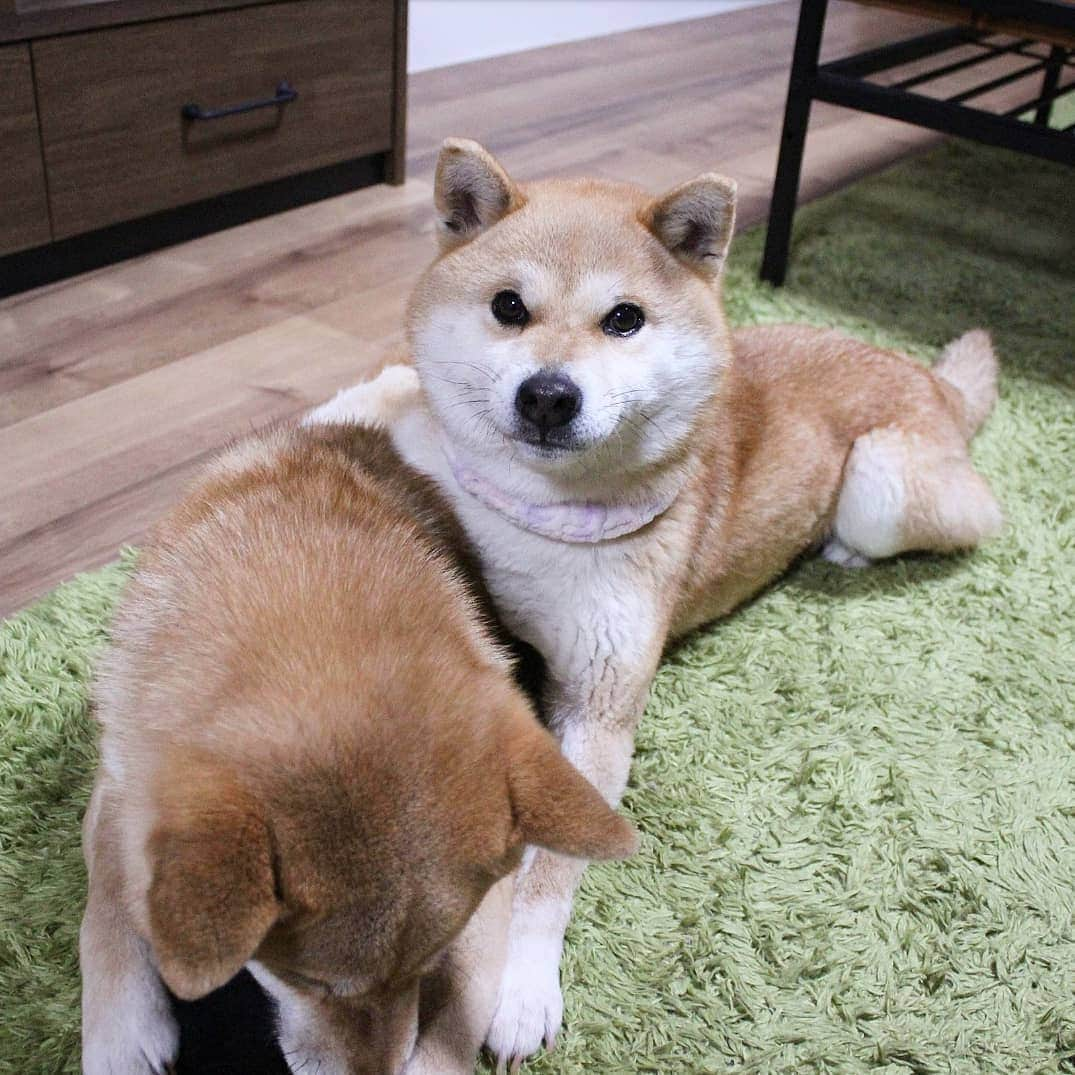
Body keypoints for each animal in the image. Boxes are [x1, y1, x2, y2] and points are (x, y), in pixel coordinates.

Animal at [83, 417, 636, 1075]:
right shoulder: (120, 781)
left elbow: (458, 1020)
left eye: (427, 967)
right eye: (307, 982)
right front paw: (119, 1030)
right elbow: (107, 898)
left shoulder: (486, 910)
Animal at [313, 138, 1006, 1062]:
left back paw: (845, 547)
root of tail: (926, 377)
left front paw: (522, 986)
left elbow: (549, 873)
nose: (547, 394)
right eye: (507, 306)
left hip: (881, 483)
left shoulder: (600, 707)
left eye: (624, 320)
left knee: (972, 512)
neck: (531, 518)